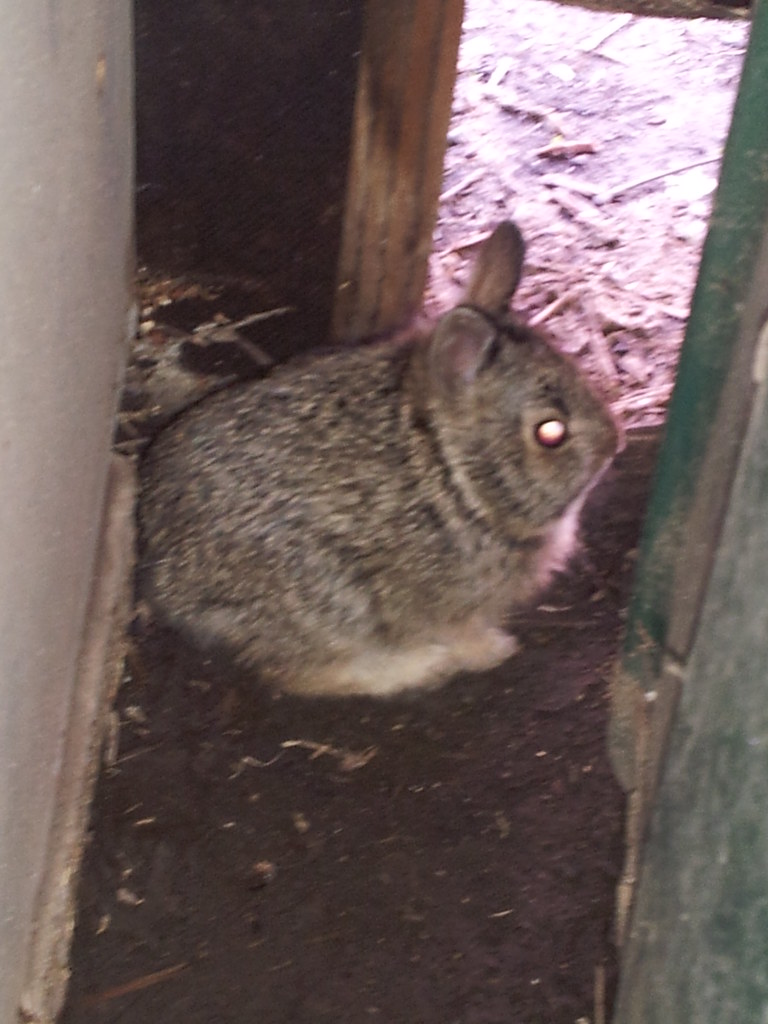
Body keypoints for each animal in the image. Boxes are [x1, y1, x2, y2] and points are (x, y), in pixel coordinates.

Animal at [138, 222, 621, 697]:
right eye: (550, 432)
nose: (613, 446)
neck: (451, 475)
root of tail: (165, 581)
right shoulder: (447, 603)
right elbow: (461, 632)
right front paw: (494, 649)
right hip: (330, 598)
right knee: (304, 672)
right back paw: (421, 667)